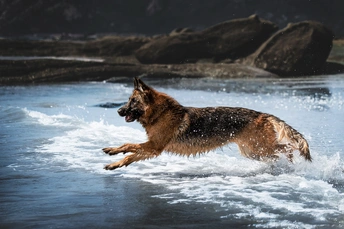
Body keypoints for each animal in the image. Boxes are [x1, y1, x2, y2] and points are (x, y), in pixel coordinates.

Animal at [103, 78, 312, 169]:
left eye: (133, 101)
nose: (118, 111)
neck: (160, 113)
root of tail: (264, 114)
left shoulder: (154, 146)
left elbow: (128, 146)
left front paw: (114, 154)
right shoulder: (152, 149)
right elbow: (130, 153)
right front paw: (115, 161)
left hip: (260, 148)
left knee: (288, 148)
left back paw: (292, 163)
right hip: (254, 152)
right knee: (280, 152)